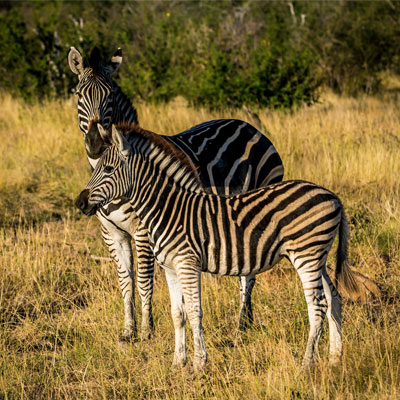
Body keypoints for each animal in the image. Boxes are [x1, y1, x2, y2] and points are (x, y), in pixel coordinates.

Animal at [67, 47, 284, 340]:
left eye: (110, 94)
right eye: (79, 94)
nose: (94, 142)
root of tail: (250, 127)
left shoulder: (143, 231)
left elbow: (144, 280)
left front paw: (147, 331)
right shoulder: (112, 234)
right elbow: (126, 281)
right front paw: (127, 331)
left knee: (248, 275)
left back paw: (241, 325)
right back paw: (246, 322)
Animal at [76, 123, 362, 370]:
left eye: (109, 169)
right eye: (97, 167)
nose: (80, 202)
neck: (168, 209)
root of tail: (333, 196)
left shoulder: (187, 264)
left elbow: (194, 312)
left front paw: (198, 363)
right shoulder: (170, 268)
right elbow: (177, 314)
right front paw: (178, 363)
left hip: (306, 255)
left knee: (317, 307)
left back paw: (307, 364)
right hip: (317, 257)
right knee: (333, 299)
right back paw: (335, 358)